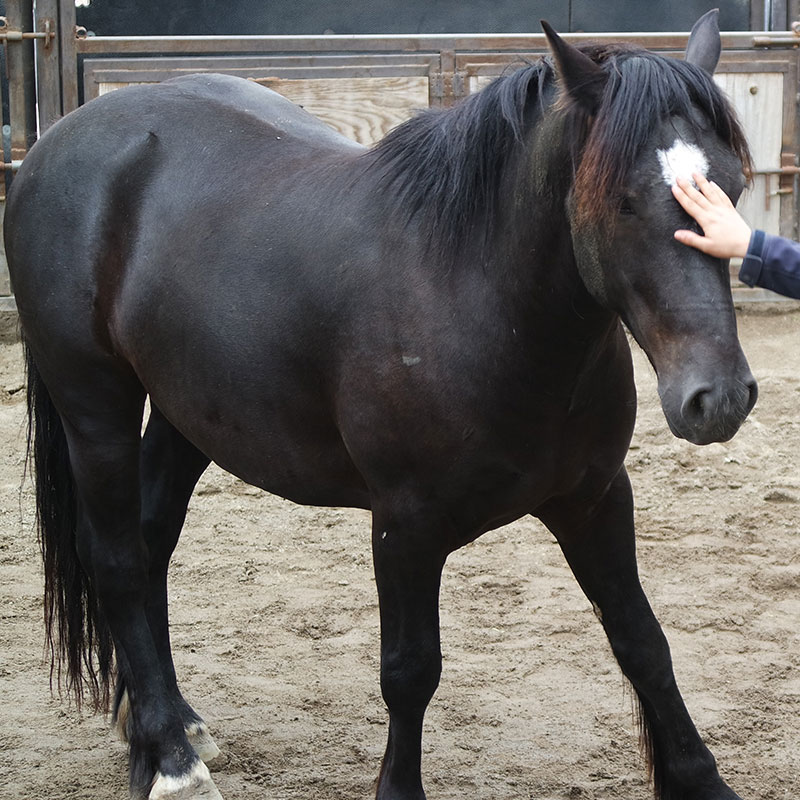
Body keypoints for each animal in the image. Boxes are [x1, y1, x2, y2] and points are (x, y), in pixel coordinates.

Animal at [6, 12, 756, 800]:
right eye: (622, 201)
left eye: (731, 188)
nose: (718, 396)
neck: (474, 296)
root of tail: (55, 142)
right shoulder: (405, 526)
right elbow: (410, 671)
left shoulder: (595, 499)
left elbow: (641, 639)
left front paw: (702, 780)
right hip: (96, 403)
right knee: (117, 559)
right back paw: (173, 764)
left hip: (190, 415)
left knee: (151, 544)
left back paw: (168, 729)